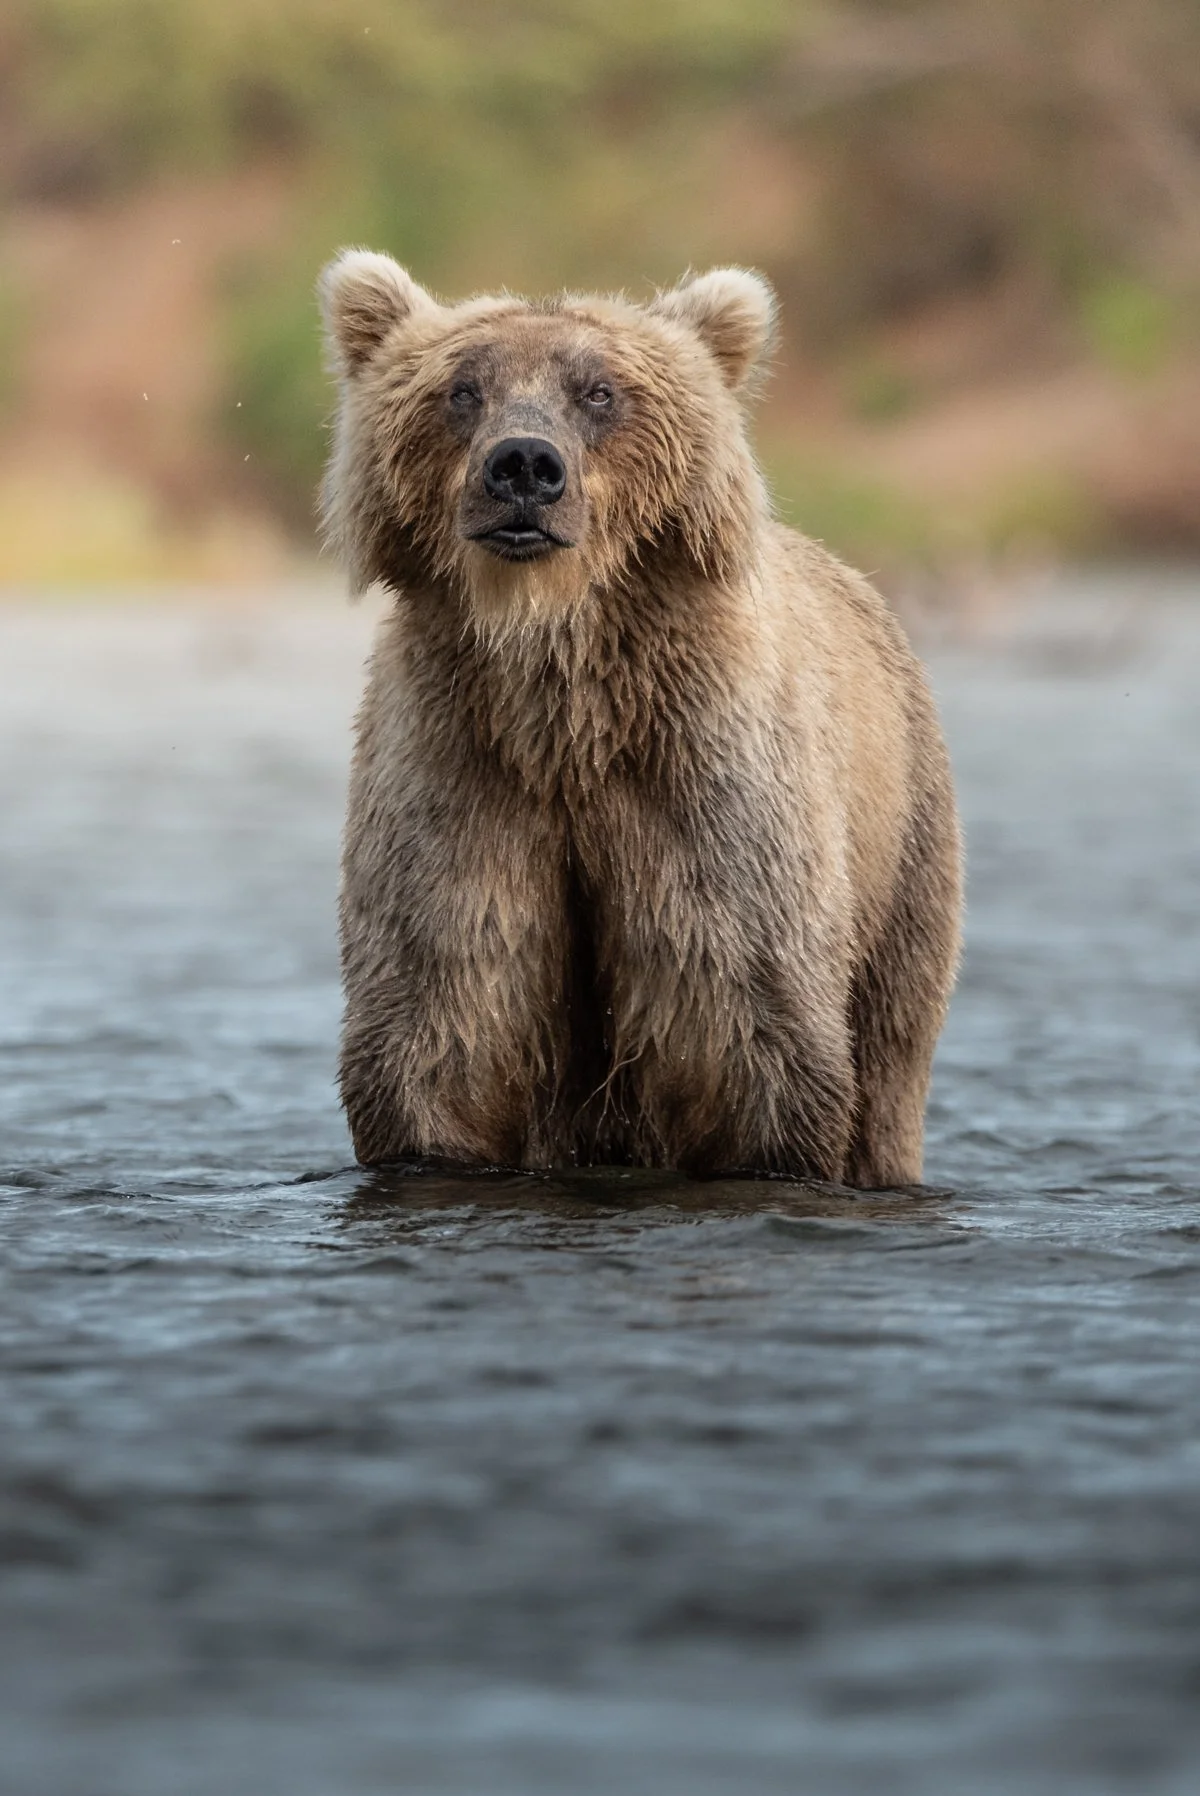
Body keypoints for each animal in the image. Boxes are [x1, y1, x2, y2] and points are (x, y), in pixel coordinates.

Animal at [319, 250, 963, 1187]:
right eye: (463, 388)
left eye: (598, 391)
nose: (523, 466)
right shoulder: (460, 769)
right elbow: (444, 1010)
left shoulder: (703, 776)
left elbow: (742, 1015)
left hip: (904, 846)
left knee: (888, 1051)